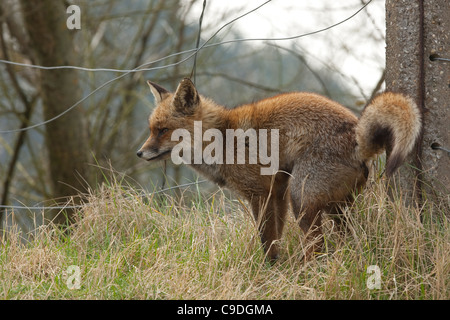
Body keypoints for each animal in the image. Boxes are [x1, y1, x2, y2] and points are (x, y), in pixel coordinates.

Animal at [137, 78, 422, 262]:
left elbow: (266, 239)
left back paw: (305, 271)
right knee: (348, 238)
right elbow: (276, 237)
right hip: (334, 207)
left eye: (163, 130)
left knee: (318, 245)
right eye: (151, 129)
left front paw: (268, 269)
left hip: (302, 199)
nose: (139, 153)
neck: (221, 140)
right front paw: (276, 266)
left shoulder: (260, 193)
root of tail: (357, 136)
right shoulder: (278, 191)